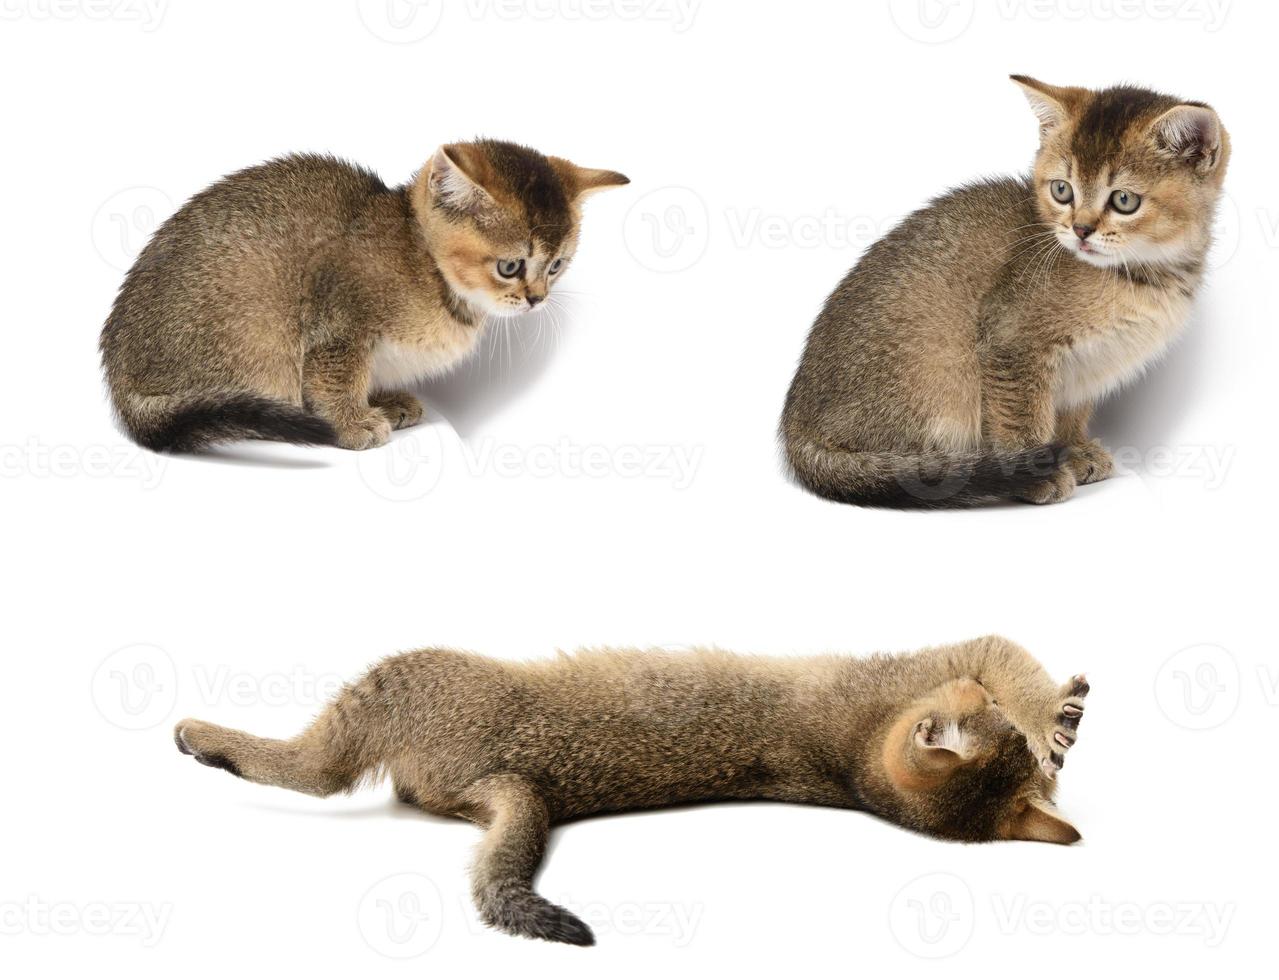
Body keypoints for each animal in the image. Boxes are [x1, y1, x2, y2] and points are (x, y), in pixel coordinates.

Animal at [97, 140, 626, 452]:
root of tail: (120, 383)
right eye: (510, 266)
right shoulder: (337, 319)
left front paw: (385, 401)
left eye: (556, 265)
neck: (420, 260)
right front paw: (351, 423)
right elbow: (335, 378)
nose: (537, 298)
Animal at [172, 639, 1089, 946]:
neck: (853, 762)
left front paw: (1046, 712)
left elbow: (1004, 654)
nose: (971, 699)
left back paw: (206, 737)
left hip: (397, 677)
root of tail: (524, 784)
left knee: (312, 767)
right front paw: (1056, 728)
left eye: (984, 717)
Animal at [777, 75, 1227, 506]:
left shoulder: (1083, 368)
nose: (1080, 229)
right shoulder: (1011, 340)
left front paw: (1073, 450)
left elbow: (1068, 412)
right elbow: (1021, 415)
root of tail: (796, 427)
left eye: (1124, 200)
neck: (1145, 276)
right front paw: (1033, 472)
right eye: (1062, 190)